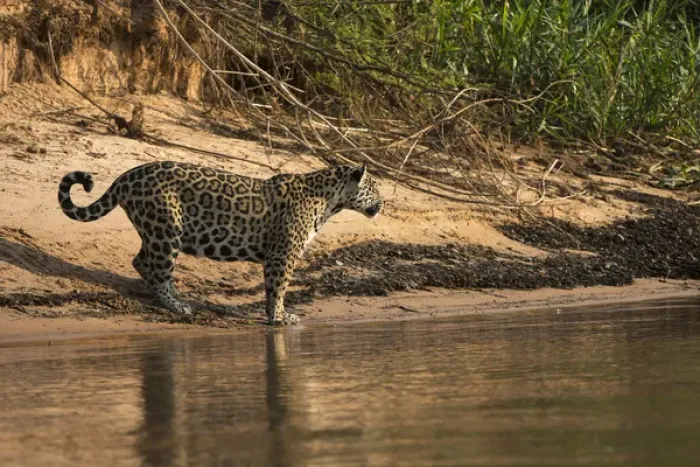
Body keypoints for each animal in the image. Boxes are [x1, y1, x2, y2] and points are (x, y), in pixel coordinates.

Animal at [57, 161, 383, 325]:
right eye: (374, 188)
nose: (384, 203)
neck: (329, 200)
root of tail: (126, 175)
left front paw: (274, 315)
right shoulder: (283, 254)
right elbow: (278, 288)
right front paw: (280, 317)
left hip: (158, 230)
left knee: (141, 261)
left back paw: (176, 297)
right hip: (167, 229)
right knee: (154, 267)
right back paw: (177, 306)